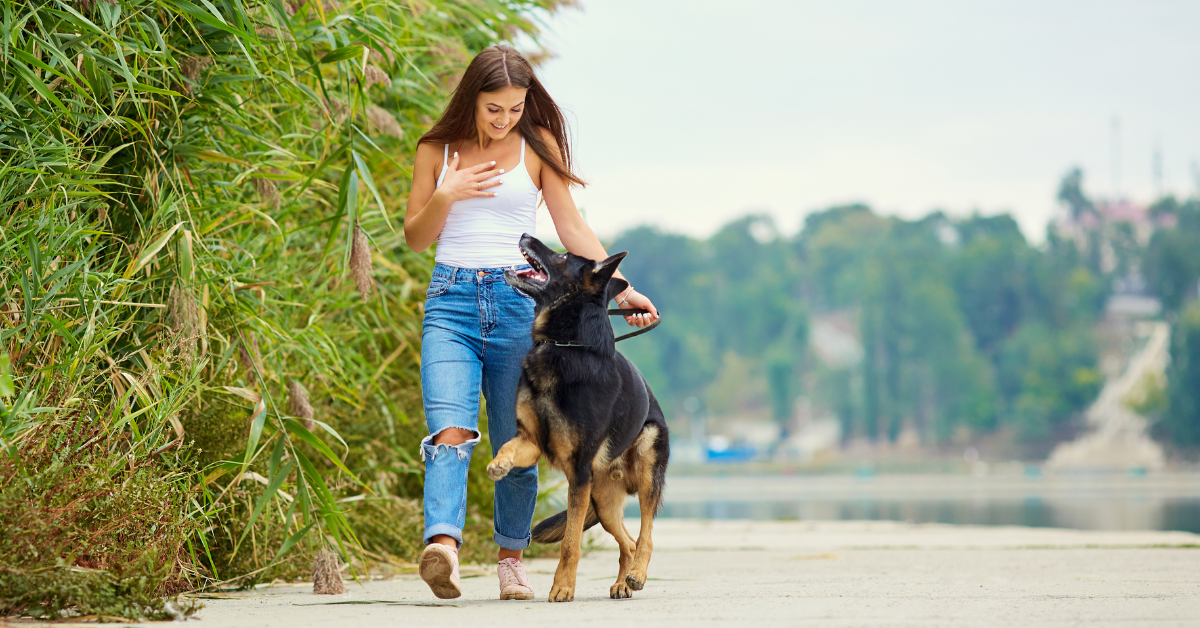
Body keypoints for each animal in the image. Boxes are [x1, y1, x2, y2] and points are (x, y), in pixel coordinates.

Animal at [489, 232, 676, 602]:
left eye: (563, 256)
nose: (525, 235)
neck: (563, 346)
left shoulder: (577, 473)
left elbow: (570, 542)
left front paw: (563, 586)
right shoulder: (531, 441)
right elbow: (507, 446)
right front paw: (499, 464)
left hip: (644, 468)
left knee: (645, 536)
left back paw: (637, 576)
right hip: (602, 501)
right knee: (627, 542)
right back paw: (622, 582)